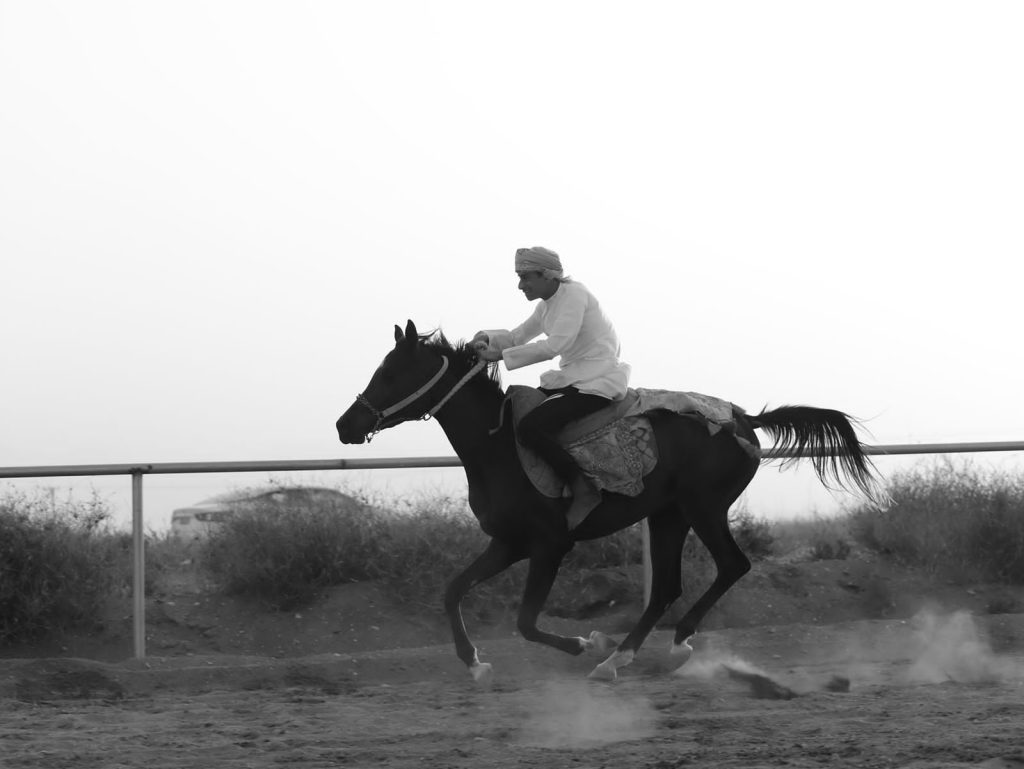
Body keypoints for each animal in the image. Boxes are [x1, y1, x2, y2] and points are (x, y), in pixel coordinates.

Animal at [336, 320, 881, 685]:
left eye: (391, 373)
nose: (346, 424)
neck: (499, 446)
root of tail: (744, 419)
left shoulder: (550, 545)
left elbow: (526, 621)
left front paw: (585, 641)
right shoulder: (509, 543)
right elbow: (453, 591)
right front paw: (474, 662)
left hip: (703, 508)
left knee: (731, 565)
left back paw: (668, 645)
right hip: (668, 516)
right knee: (667, 587)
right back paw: (622, 656)